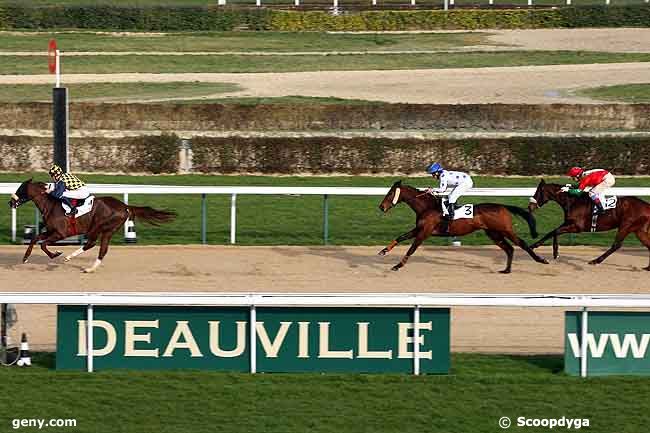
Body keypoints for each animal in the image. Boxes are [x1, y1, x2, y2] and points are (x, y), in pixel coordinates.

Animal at [8, 177, 175, 272]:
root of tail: (125, 206)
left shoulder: (60, 233)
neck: (51, 205)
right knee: (102, 249)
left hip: (99, 226)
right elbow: (35, 239)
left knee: (92, 243)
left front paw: (56, 254)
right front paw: (25, 258)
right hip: (108, 231)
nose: (10, 202)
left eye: (21, 189)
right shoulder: (50, 231)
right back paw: (90, 268)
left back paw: (69, 258)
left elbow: (43, 244)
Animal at [374, 181, 548, 272]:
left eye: (390, 193)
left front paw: (398, 265)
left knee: (521, 244)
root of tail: (502, 206)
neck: (427, 207)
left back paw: (541, 260)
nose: (381, 207)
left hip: (505, 229)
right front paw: (383, 251)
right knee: (509, 248)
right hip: (493, 233)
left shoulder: (425, 232)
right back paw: (506, 269)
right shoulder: (419, 229)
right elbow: (401, 237)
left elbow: (412, 248)